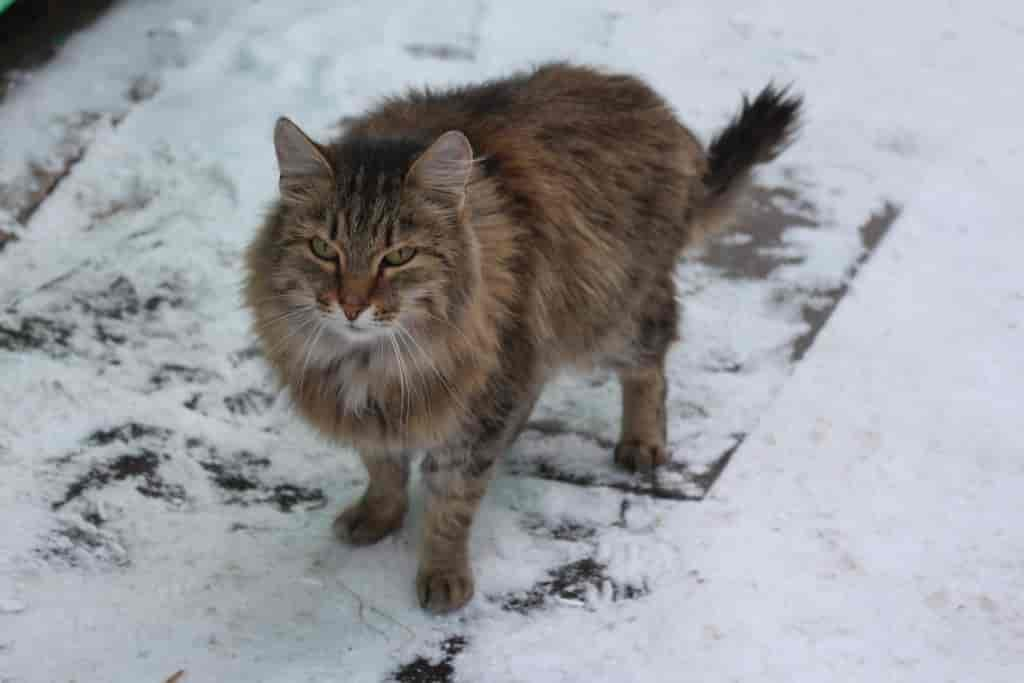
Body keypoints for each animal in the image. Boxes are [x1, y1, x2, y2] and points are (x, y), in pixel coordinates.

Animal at [245, 60, 798, 614]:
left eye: (398, 256)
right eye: (323, 249)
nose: (352, 306)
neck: (369, 362)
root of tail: (647, 99)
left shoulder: (479, 405)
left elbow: (451, 503)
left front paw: (443, 574)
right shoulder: (380, 414)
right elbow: (383, 468)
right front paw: (378, 515)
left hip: (611, 316)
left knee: (650, 367)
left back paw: (641, 442)